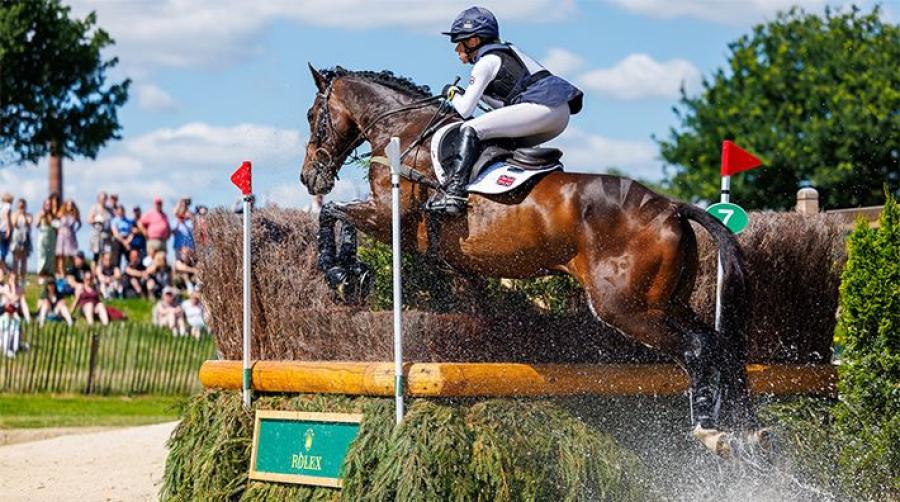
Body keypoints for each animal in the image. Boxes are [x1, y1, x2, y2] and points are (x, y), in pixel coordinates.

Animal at [300, 65, 764, 456]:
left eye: (311, 115)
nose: (309, 177)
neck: (405, 131)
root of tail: (672, 207)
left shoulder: (388, 215)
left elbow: (334, 212)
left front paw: (342, 273)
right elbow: (342, 217)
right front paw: (351, 275)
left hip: (625, 307)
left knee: (698, 347)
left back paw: (709, 429)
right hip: (666, 301)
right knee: (721, 344)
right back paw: (746, 429)